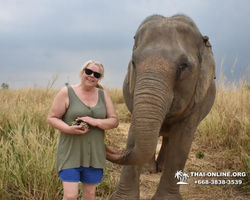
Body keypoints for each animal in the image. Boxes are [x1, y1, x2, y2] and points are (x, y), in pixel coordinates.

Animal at [105, 14, 217, 200]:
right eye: (133, 62)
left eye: (184, 66)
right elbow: (134, 133)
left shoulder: (199, 99)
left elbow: (182, 140)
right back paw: (150, 170)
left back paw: (160, 168)